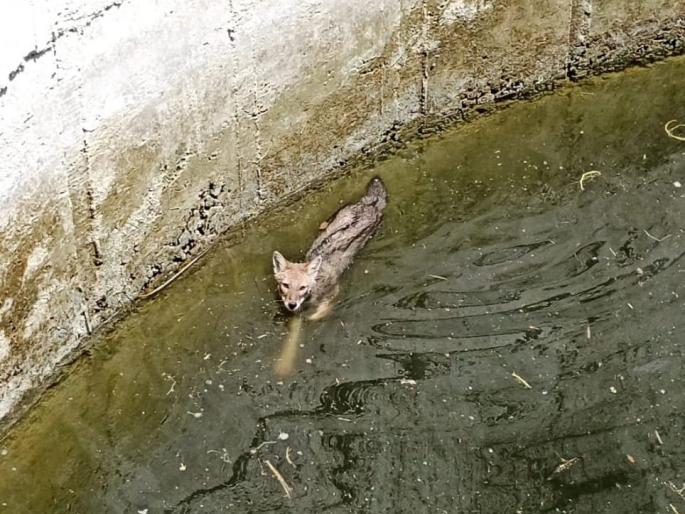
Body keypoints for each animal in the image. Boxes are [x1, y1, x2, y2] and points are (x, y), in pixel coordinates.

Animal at [272, 177, 388, 320]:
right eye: (285, 285)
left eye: (302, 287)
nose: (292, 304)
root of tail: (370, 203)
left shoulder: (333, 292)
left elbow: (319, 313)